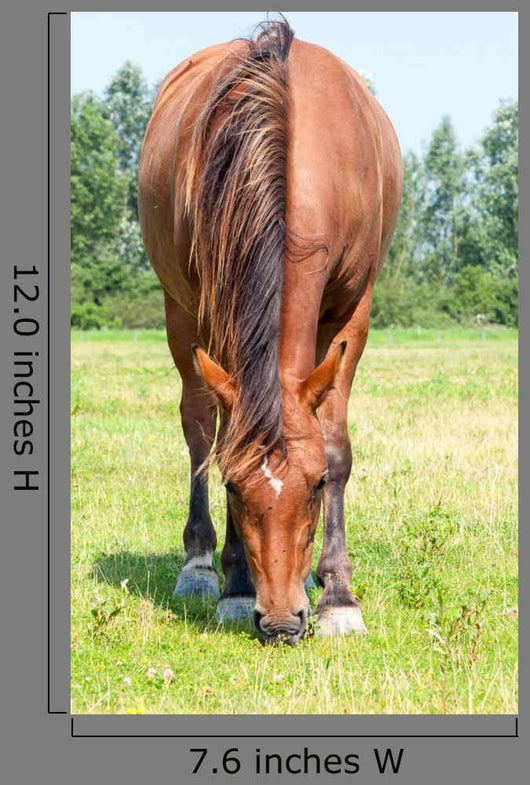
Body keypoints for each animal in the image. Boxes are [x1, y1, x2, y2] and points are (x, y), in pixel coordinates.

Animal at [138, 19, 402, 645]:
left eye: (316, 486)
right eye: (234, 488)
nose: (281, 621)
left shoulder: (354, 311)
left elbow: (336, 444)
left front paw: (338, 596)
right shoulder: (214, 307)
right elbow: (222, 437)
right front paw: (235, 589)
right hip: (181, 313)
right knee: (198, 428)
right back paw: (201, 565)